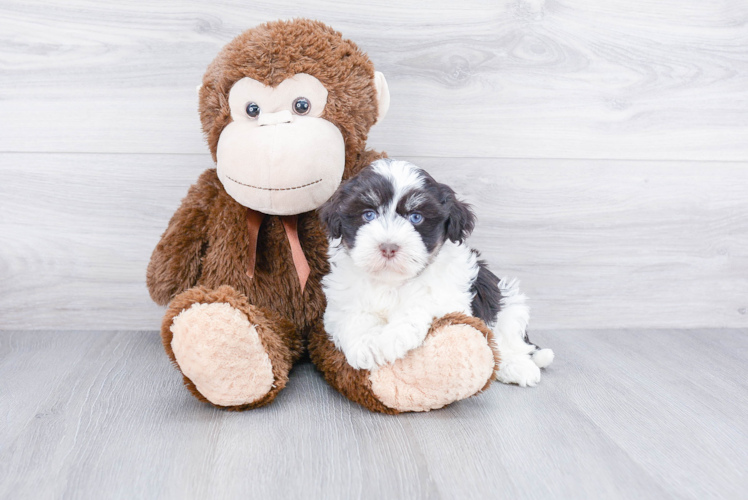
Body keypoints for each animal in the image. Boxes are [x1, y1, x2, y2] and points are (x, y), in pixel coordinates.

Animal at [318, 159, 552, 386]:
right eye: (368, 215)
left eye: (416, 217)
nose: (388, 247)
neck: (391, 282)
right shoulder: (342, 300)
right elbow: (354, 316)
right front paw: (366, 344)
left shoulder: (451, 295)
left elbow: (423, 305)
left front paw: (393, 337)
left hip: (508, 301)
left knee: (509, 340)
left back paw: (518, 367)